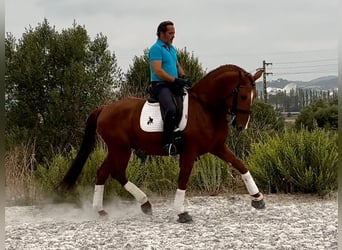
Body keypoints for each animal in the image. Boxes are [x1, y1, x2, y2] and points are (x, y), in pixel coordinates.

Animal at [58, 64, 264, 223]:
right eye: (243, 96)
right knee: (117, 173)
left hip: (117, 149)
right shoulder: (190, 151)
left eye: (254, 96)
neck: (206, 108)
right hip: (121, 149)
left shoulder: (217, 147)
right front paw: (181, 212)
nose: (241, 126)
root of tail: (105, 108)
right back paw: (144, 203)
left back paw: (101, 210)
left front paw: (258, 198)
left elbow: (240, 165)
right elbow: (184, 177)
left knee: (103, 172)